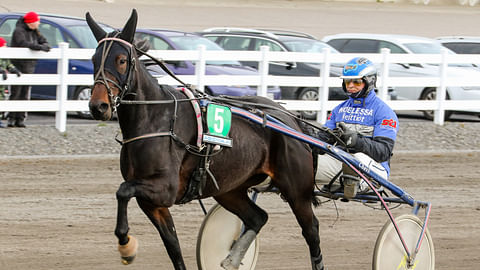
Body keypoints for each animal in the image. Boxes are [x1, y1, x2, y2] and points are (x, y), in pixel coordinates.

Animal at [86, 8, 328, 270]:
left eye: (121, 60)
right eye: (93, 59)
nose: (98, 106)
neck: (155, 118)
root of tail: (292, 120)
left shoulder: (165, 189)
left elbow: (122, 191)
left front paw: (126, 246)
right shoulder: (153, 202)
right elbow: (172, 245)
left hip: (296, 190)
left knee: (311, 230)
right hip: (229, 188)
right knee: (257, 218)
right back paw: (231, 259)